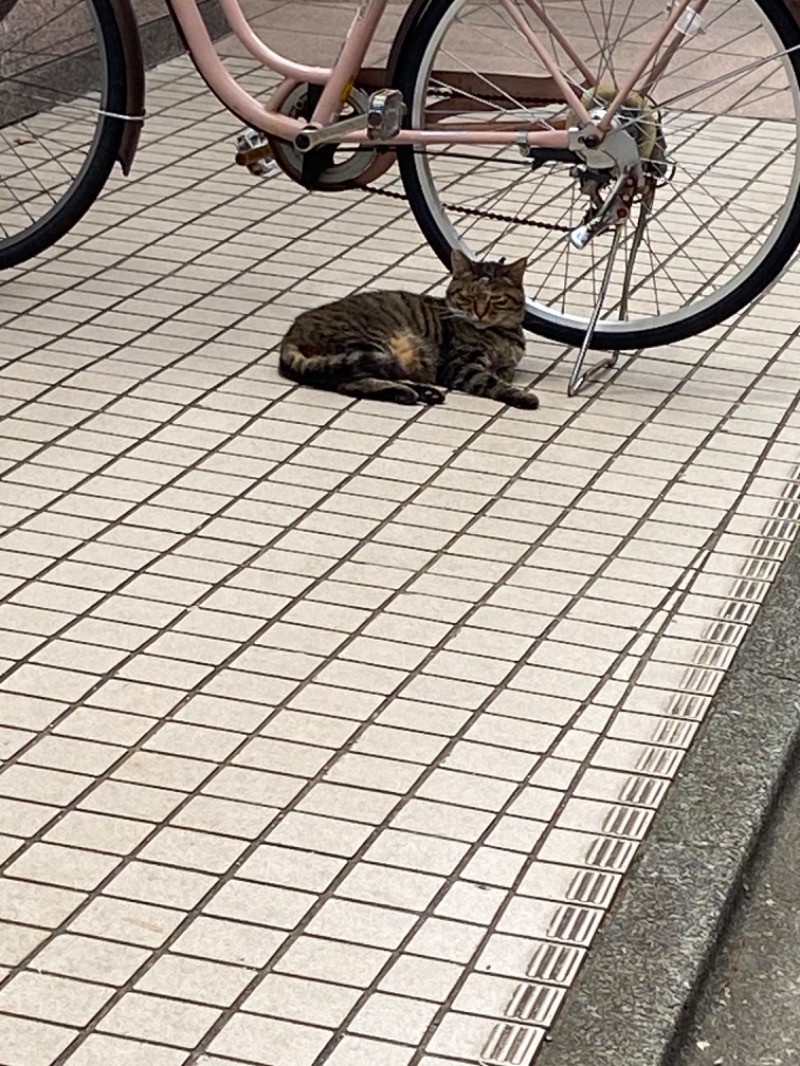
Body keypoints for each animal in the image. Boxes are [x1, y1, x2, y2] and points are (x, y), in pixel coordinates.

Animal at [279, 251, 541, 409]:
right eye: (469, 297)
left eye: (495, 299)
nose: (479, 313)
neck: (502, 335)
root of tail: (291, 334)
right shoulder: (461, 365)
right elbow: (491, 382)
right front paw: (522, 395)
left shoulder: (507, 365)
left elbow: (503, 374)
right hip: (371, 344)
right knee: (350, 382)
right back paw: (409, 393)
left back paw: (423, 393)